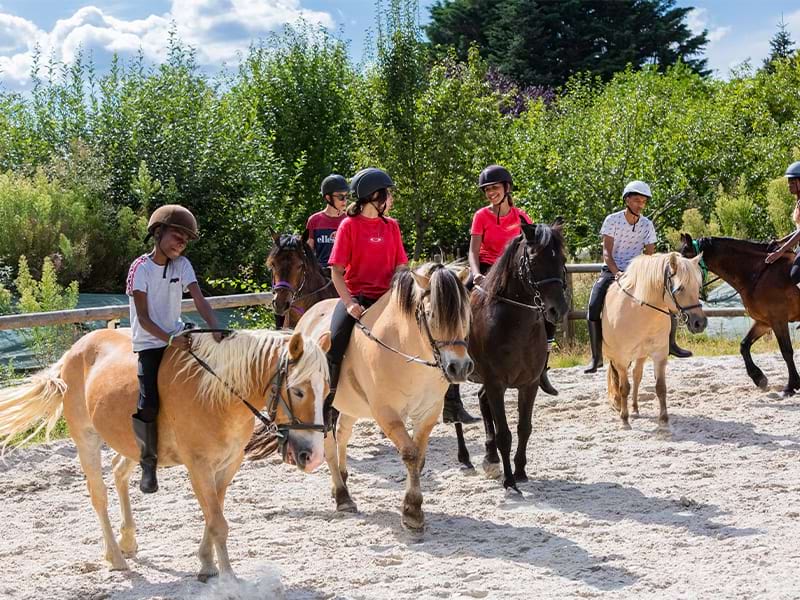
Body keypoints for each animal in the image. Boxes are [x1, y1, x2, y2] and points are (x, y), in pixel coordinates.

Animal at [0, 328, 330, 580]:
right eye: (298, 391)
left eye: (327, 390)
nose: (313, 456)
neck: (219, 394)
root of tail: (74, 350)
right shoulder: (199, 466)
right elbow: (218, 522)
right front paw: (228, 577)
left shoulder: (228, 465)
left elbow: (214, 516)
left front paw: (207, 564)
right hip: (86, 438)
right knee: (99, 494)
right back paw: (116, 556)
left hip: (131, 443)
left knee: (119, 472)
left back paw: (128, 539)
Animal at [276, 262, 472, 528]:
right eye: (431, 315)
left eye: (465, 314)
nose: (459, 367)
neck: (406, 352)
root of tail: (307, 316)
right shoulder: (386, 413)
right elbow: (410, 454)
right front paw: (412, 512)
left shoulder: (428, 413)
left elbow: (420, 456)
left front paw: (412, 507)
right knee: (328, 445)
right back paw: (342, 496)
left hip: (351, 405)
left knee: (342, 433)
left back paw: (343, 478)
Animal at [456, 221, 568, 492]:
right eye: (534, 259)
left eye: (561, 259)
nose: (558, 309)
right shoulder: (496, 384)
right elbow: (504, 434)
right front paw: (509, 481)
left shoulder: (529, 384)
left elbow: (523, 428)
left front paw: (520, 471)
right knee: (453, 412)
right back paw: (465, 458)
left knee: (481, 401)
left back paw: (490, 458)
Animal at [604, 251, 708, 428]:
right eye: (680, 288)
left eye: (698, 287)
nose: (699, 323)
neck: (640, 312)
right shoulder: (622, 358)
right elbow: (624, 387)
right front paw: (624, 419)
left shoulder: (659, 355)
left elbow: (660, 387)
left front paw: (664, 419)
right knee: (619, 378)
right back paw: (620, 405)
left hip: (641, 354)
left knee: (637, 375)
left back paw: (635, 409)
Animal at [680, 234, 800, 398]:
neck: (757, 274)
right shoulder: (764, 321)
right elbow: (744, 345)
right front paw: (759, 378)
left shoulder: (778, 320)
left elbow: (786, 351)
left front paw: (790, 386)